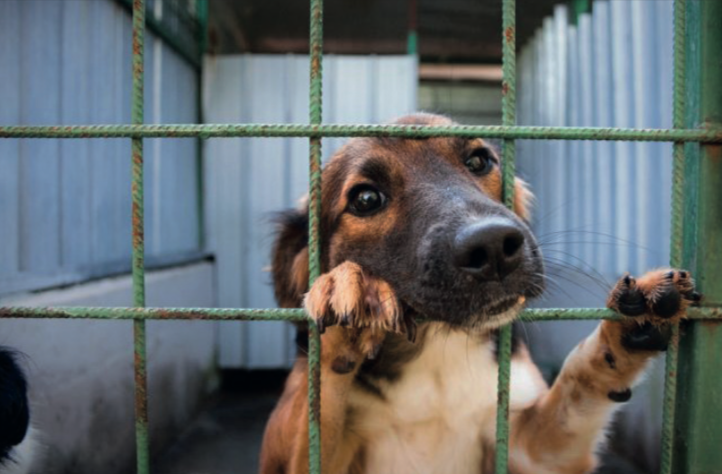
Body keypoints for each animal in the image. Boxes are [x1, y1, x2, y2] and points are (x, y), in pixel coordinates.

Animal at [258, 114, 696, 474]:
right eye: (365, 199)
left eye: (479, 161)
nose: (493, 247)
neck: (436, 350)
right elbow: (319, 404)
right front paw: (350, 290)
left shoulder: (532, 451)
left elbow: (575, 383)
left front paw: (623, 331)